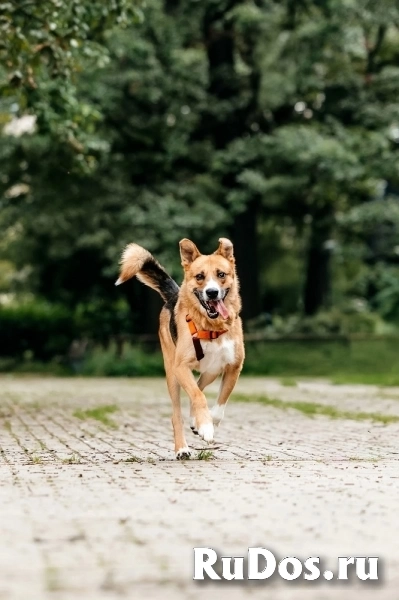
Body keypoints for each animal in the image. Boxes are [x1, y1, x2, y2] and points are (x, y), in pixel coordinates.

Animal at [115, 237, 245, 458]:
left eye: (221, 274)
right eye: (200, 276)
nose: (212, 293)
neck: (211, 327)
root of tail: (174, 296)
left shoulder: (233, 367)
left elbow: (219, 403)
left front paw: (206, 423)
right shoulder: (181, 367)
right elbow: (198, 396)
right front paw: (205, 427)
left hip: (210, 371)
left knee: (199, 385)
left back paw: (195, 422)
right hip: (172, 374)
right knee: (178, 411)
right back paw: (182, 448)